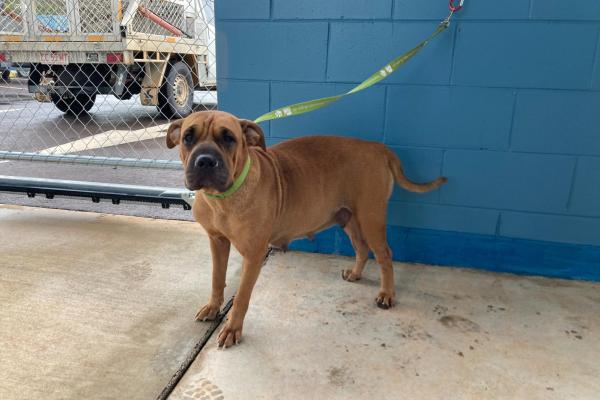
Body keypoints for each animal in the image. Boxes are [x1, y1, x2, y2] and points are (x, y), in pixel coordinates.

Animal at [166, 109, 448, 346]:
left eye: (229, 138)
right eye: (188, 137)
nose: (205, 161)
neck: (222, 199)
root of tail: (379, 148)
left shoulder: (254, 255)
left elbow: (243, 297)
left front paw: (233, 328)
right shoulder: (217, 242)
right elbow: (217, 278)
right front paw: (213, 308)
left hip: (371, 218)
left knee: (384, 255)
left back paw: (387, 294)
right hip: (349, 218)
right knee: (362, 248)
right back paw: (356, 274)